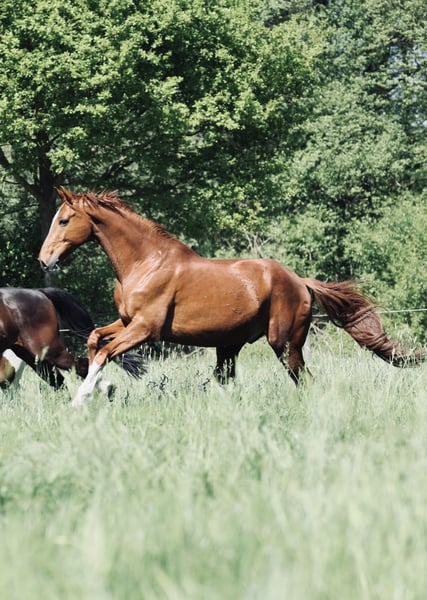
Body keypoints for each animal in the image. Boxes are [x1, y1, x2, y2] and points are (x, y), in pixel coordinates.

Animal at [38, 187, 426, 406]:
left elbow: (105, 352)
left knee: (303, 378)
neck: (145, 262)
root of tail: (300, 281)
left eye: (64, 220)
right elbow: (94, 340)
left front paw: (81, 399)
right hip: (230, 346)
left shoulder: (146, 329)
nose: (44, 260)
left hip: (284, 342)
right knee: (233, 380)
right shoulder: (126, 322)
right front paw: (98, 390)